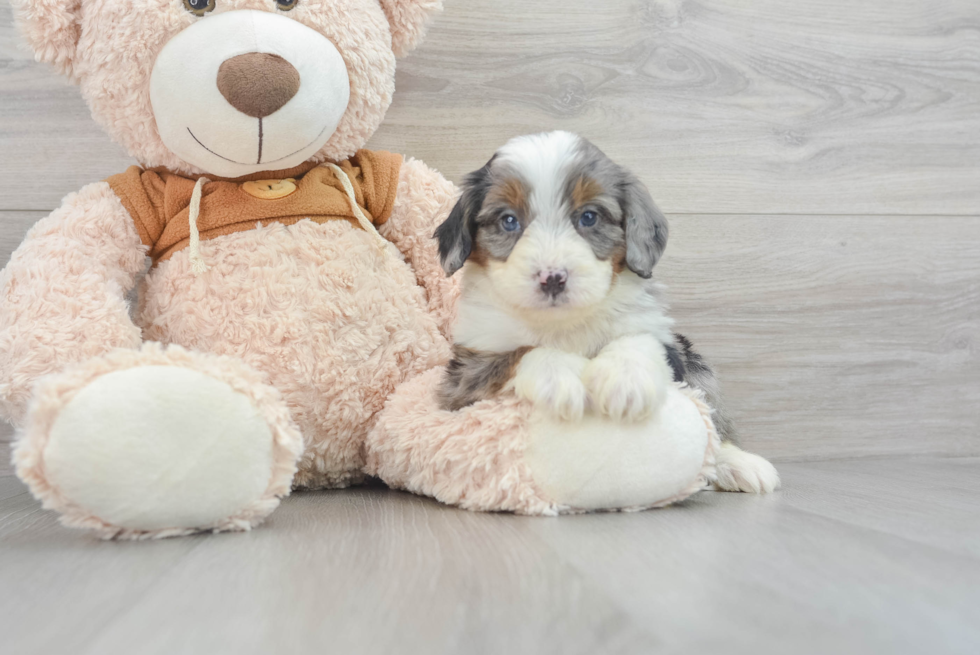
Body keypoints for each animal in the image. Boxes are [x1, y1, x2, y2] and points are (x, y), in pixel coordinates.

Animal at [436, 131, 780, 494]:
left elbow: (638, 339)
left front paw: (626, 380)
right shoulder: (463, 377)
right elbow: (518, 354)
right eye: (508, 221)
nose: (553, 278)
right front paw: (561, 375)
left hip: (696, 363)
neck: (563, 323)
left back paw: (738, 462)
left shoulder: (663, 342)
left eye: (589, 217)